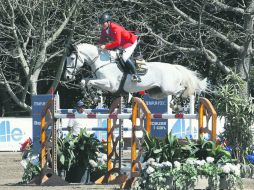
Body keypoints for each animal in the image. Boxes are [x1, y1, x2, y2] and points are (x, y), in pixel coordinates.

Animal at [63, 43, 206, 99]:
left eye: (72, 58)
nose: (67, 77)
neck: (102, 62)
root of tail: (174, 67)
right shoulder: (100, 80)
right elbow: (84, 81)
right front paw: (88, 95)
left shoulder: (110, 84)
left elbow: (90, 82)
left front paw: (92, 96)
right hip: (157, 92)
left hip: (168, 87)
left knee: (181, 89)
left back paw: (180, 99)